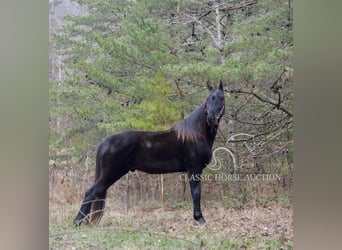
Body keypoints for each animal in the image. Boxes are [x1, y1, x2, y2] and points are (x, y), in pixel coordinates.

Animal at [73, 81, 226, 226]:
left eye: (221, 98)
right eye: (208, 99)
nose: (211, 118)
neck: (196, 134)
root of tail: (105, 141)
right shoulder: (194, 168)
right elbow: (196, 193)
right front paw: (200, 218)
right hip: (111, 174)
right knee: (91, 192)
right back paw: (77, 222)